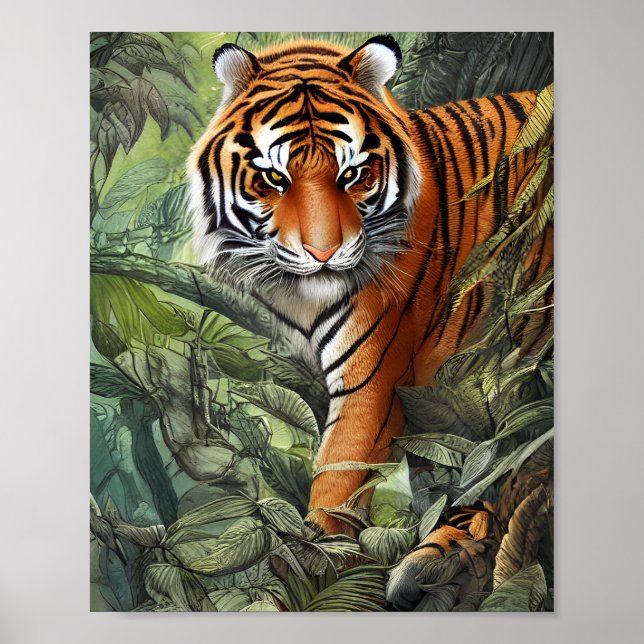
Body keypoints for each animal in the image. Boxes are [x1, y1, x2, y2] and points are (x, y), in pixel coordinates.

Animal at [187, 35, 553, 563]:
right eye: (275, 179)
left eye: (353, 174)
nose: (323, 253)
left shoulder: (375, 384)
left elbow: (339, 478)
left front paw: (322, 556)